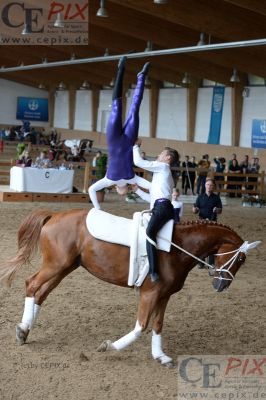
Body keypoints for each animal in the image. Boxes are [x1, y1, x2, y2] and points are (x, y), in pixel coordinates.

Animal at [0, 209, 258, 368]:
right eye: (241, 258)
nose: (221, 285)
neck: (178, 247)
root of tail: (54, 215)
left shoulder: (164, 295)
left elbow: (157, 325)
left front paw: (160, 356)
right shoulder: (150, 294)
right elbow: (140, 327)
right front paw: (109, 346)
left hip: (65, 268)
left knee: (41, 294)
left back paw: (26, 330)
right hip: (56, 265)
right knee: (32, 285)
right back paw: (22, 330)